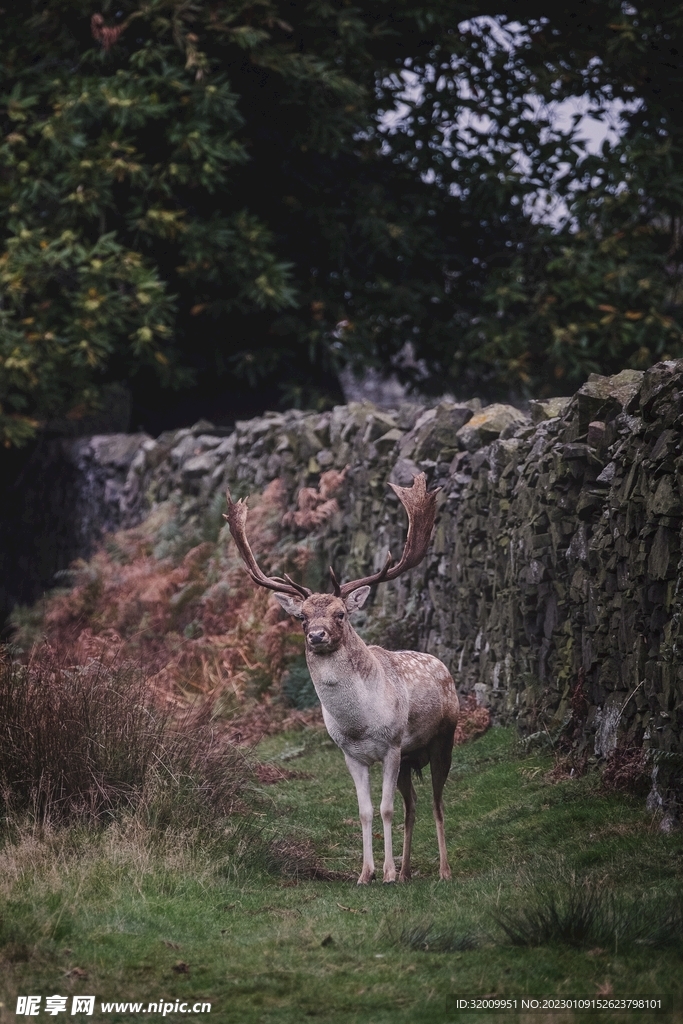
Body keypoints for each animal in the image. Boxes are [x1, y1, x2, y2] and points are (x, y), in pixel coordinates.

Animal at [224, 473, 459, 884]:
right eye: (302, 617)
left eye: (341, 614)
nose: (317, 636)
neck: (359, 724)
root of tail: (443, 666)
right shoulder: (351, 754)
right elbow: (365, 810)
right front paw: (366, 874)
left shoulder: (392, 744)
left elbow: (385, 809)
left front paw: (386, 873)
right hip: (411, 757)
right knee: (412, 804)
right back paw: (409, 871)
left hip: (442, 738)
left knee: (436, 801)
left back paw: (443, 870)